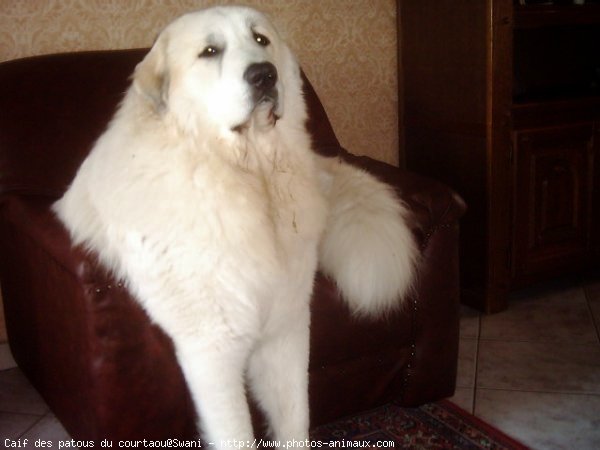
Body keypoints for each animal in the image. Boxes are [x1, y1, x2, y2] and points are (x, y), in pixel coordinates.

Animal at [52, 6, 418, 446]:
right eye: (210, 51)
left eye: (261, 40)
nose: (264, 75)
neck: (250, 177)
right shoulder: (214, 350)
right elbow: (236, 433)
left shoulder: (286, 330)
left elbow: (295, 419)